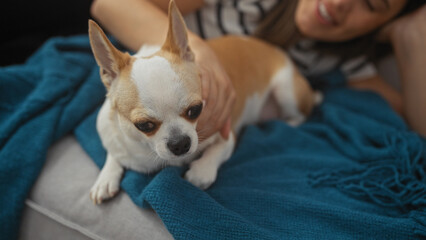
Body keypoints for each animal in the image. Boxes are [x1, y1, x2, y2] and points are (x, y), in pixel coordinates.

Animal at [89, 0, 320, 204]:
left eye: (195, 110)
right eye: (144, 125)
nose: (180, 143)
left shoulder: (227, 132)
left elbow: (215, 153)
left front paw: (201, 170)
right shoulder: (116, 137)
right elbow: (114, 152)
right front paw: (106, 177)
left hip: (286, 91)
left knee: (300, 114)